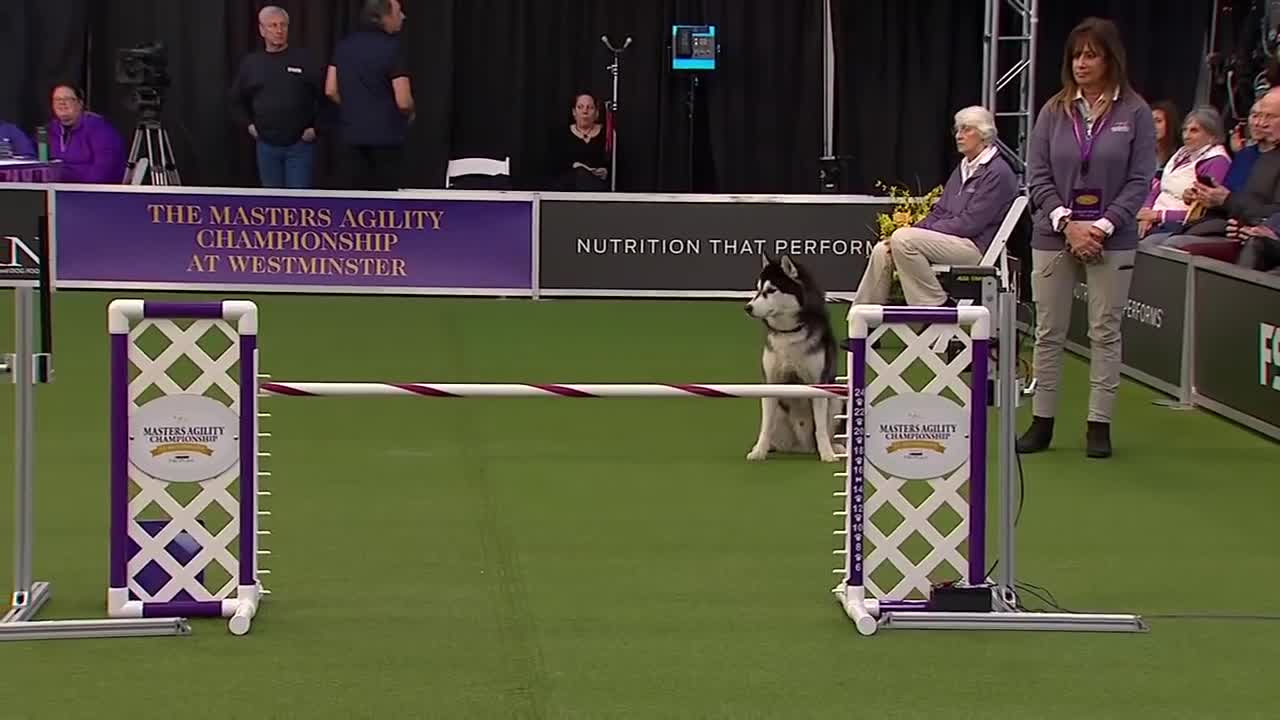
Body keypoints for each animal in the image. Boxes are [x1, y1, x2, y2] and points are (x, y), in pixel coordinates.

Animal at [747, 254, 844, 461]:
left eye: (771, 290)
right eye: (758, 289)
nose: (747, 307)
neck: (789, 334)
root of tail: (803, 447)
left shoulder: (819, 383)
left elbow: (821, 428)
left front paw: (827, 454)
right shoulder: (771, 382)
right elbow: (765, 426)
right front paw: (759, 451)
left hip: (837, 399)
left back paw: (835, 447)